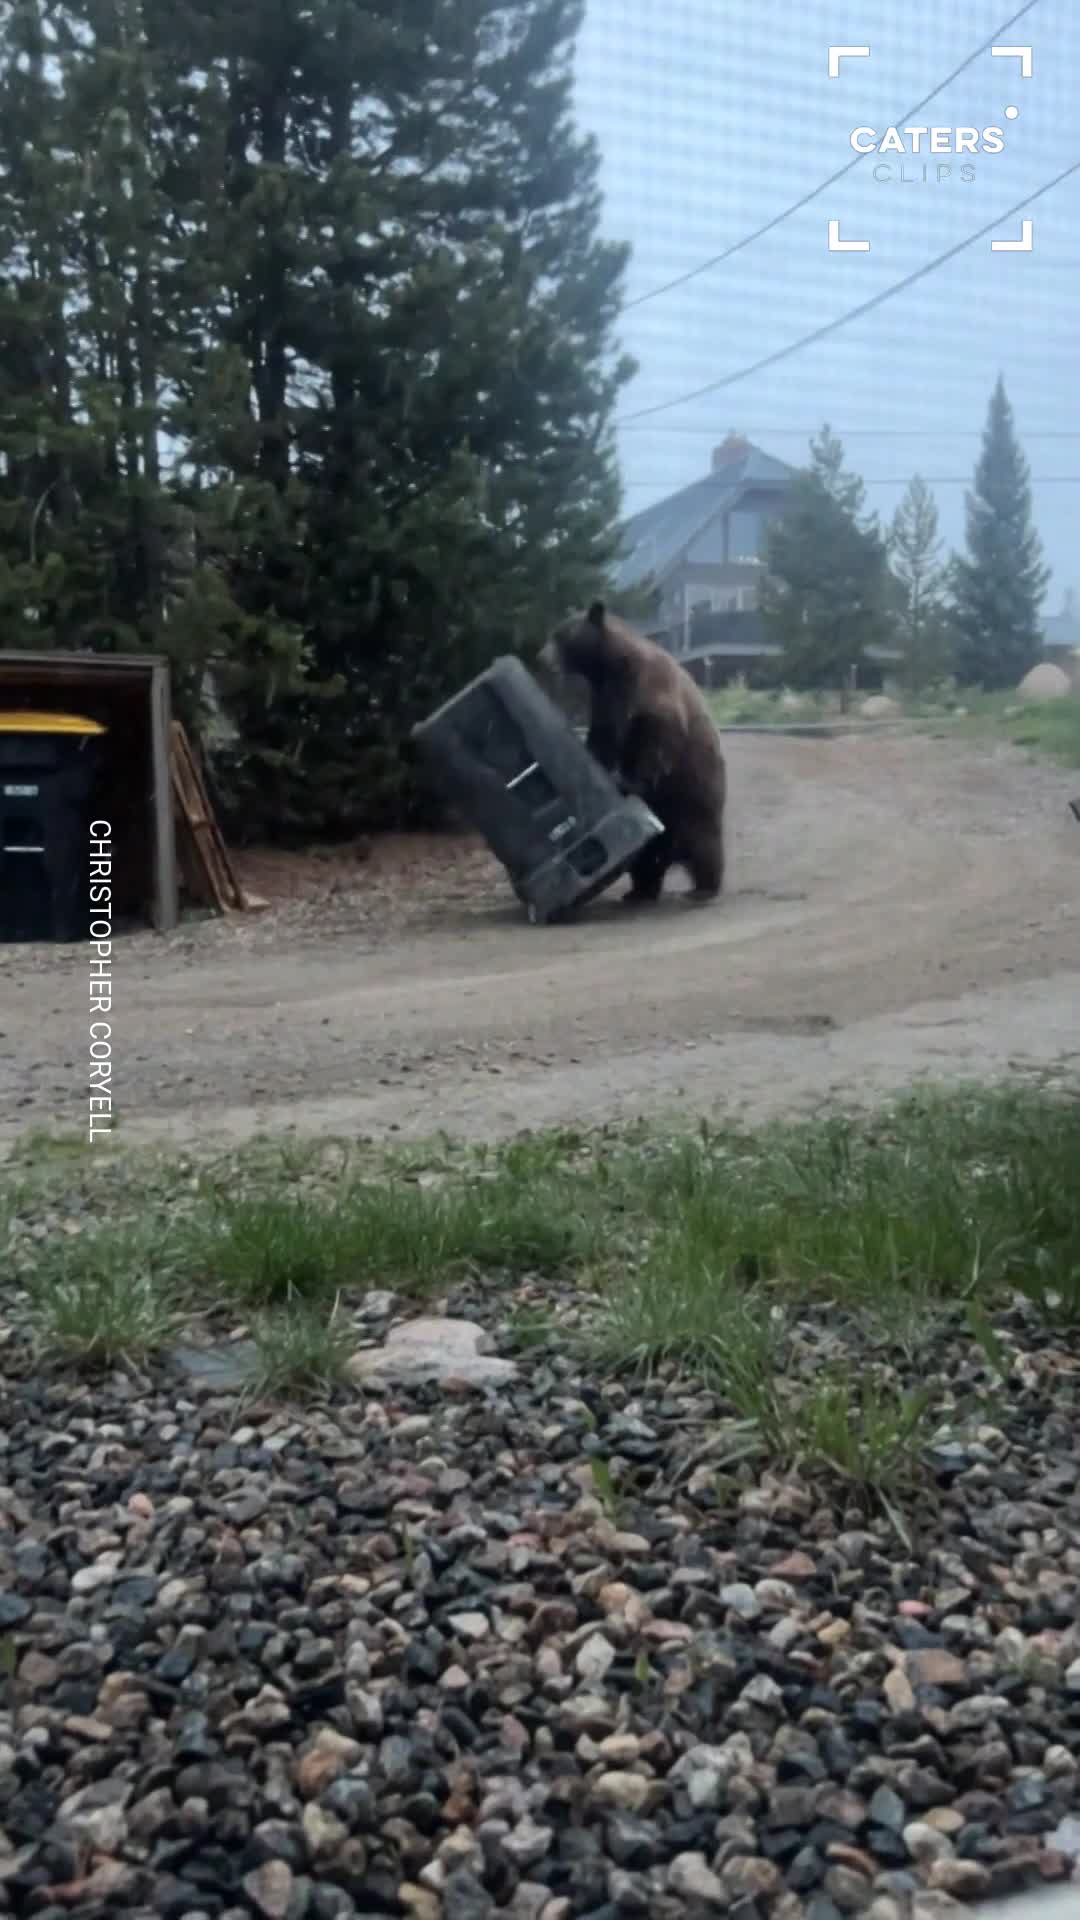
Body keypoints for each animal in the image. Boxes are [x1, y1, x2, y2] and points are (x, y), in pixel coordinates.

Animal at [540, 600, 726, 903]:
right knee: (647, 860)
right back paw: (640, 891)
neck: (611, 665)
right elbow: (603, 736)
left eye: (561, 634)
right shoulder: (605, 696)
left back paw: (703, 888)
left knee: (704, 844)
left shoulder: (647, 687)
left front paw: (626, 780)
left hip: (696, 800)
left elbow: (656, 734)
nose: (541, 657)